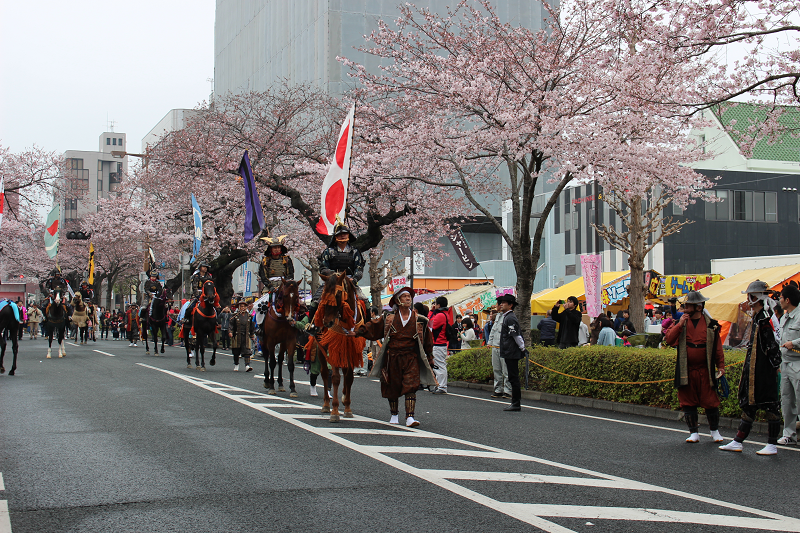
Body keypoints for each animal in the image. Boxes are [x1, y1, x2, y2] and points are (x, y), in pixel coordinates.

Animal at [308, 272, 368, 422]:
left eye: (338, 294)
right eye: (324, 294)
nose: (327, 322)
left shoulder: (352, 348)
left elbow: (349, 377)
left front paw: (347, 408)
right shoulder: (333, 348)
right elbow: (335, 378)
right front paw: (334, 411)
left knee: (345, 373)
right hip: (321, 348)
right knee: (325, 374)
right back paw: (325, 405)